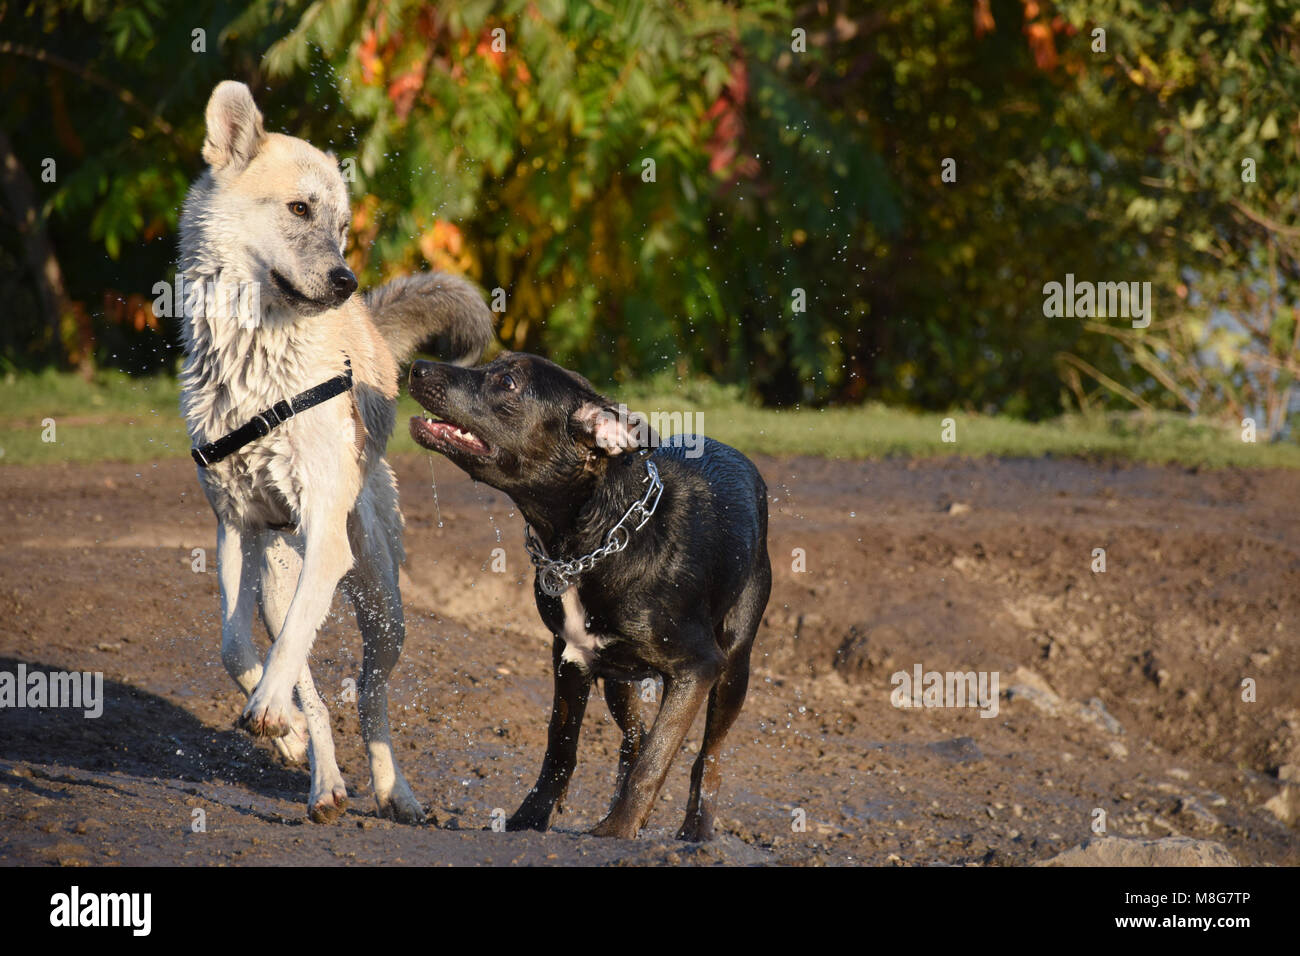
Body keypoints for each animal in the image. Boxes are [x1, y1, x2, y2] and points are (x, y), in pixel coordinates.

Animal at [178, 82, 491, 822]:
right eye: (299, 209)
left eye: (344, 226)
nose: (346, 279)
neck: (257, 371)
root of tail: (369, 324)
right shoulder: (234, 527)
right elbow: (236, 649)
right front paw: (283, 728)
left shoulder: (324, 531)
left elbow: (293, 645)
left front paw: (274, 713)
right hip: (276, 579)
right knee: (315, 690)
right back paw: (321, 778)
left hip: (382, 600)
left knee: (371, 694)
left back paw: (394, 792)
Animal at [410, 356, 764, 842]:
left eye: (508, 382)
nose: (416, 367)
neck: (598, 537)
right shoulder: (571, 657)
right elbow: (560, 749)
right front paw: (528, 821)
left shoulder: (698, 668)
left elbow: (657, 758)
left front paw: (617, 831)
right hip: (618, 679)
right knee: (633, 737)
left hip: (734, 665)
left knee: (706, 757)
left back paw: (696, 831)